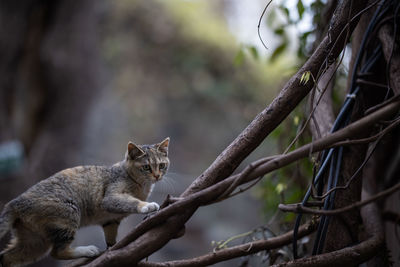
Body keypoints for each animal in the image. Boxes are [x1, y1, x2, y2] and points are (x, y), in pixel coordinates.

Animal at [0, 138, 170, 267]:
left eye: (162, 165)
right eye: (146, 167)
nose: (157, 176)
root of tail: (16, 202)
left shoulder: (111, 220)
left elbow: (111, 237)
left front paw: (113, 248)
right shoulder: (110, 198)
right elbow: (132, 202)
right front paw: (147, 206)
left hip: (34, 242)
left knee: (6, 256)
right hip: (68, 213)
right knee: (57, 252)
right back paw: (89, 250)